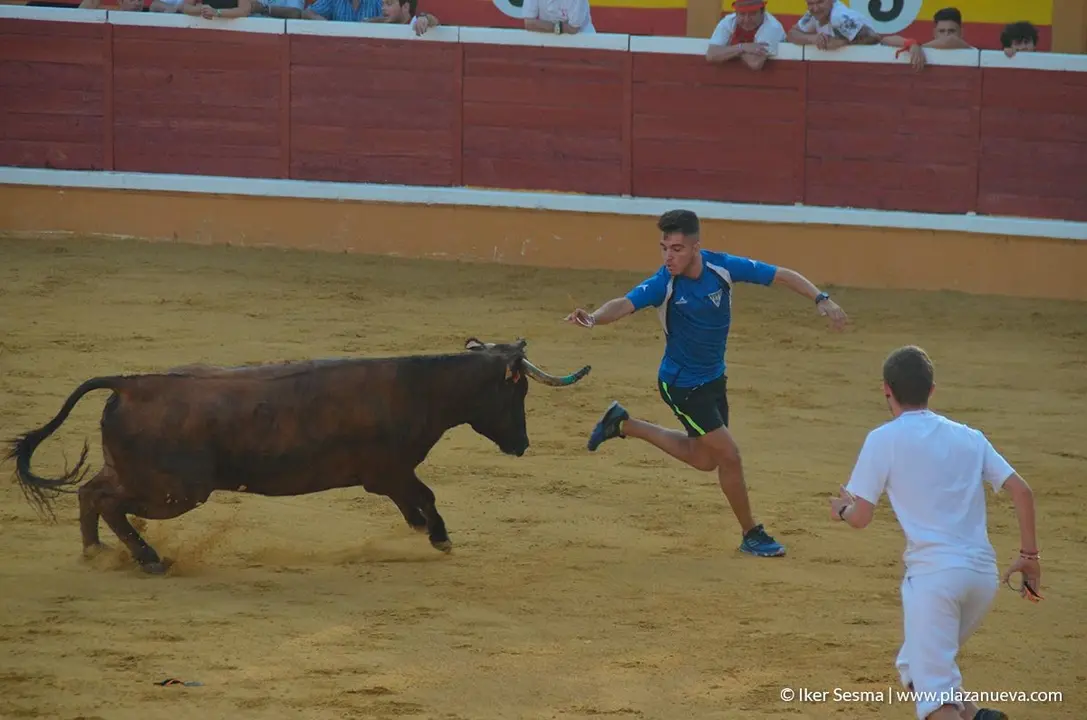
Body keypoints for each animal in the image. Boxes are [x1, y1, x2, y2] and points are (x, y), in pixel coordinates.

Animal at [5, 338, 590, 574]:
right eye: (517, 392)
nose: (522, 443)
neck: (419, 386)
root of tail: (132, 384)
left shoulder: (388, 478)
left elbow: (416, 504)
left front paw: (426, 532)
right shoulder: (389, 472)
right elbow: (426, 496)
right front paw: (441, 538)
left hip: (138, 474)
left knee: (90, 493)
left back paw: (96, 553)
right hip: (175, 490)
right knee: (106, 501)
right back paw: (148, 558)